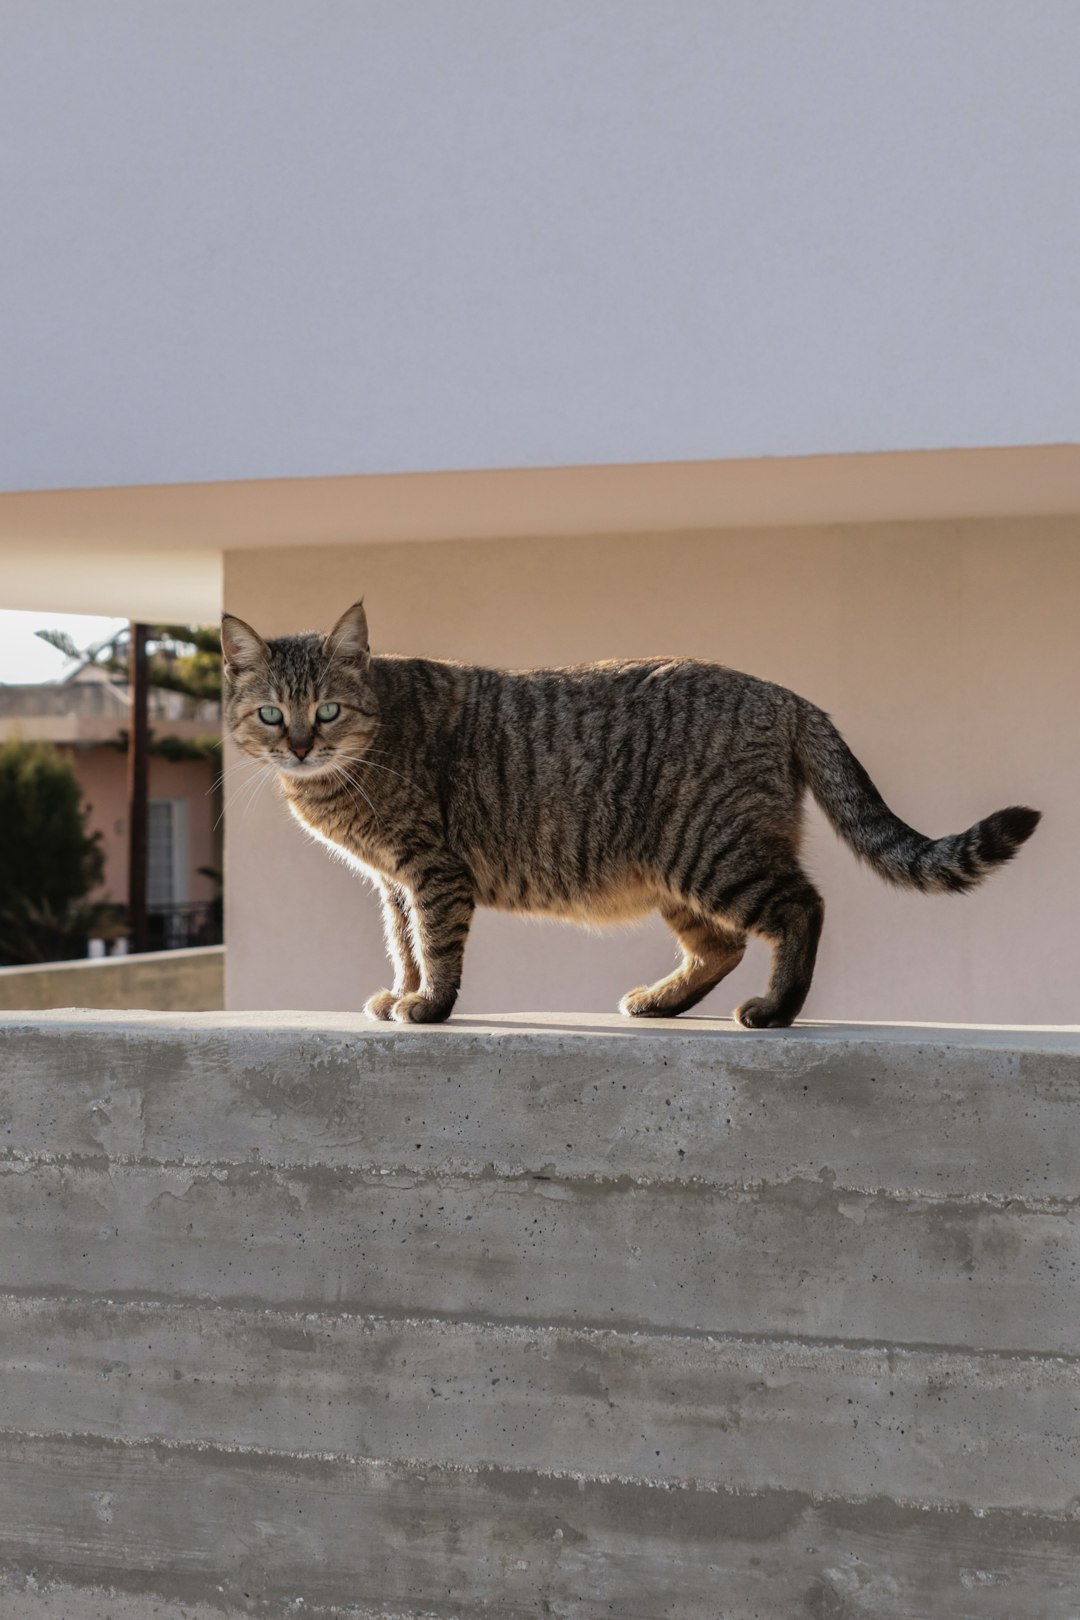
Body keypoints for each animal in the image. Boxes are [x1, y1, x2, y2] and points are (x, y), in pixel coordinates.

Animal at [223, 602, 1042, 1030]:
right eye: (271, 714)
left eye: (328, 710)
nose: (300, 745)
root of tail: (788, 695)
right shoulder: (393, 882)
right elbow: (404, 946)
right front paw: (402, 991)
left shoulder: (431, 869)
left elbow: (438, 947)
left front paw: (429, 1005)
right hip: (675, 874)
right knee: (721, 945)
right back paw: (661, 1000)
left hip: (717, 853)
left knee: (801, 909)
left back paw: (776, 1009)